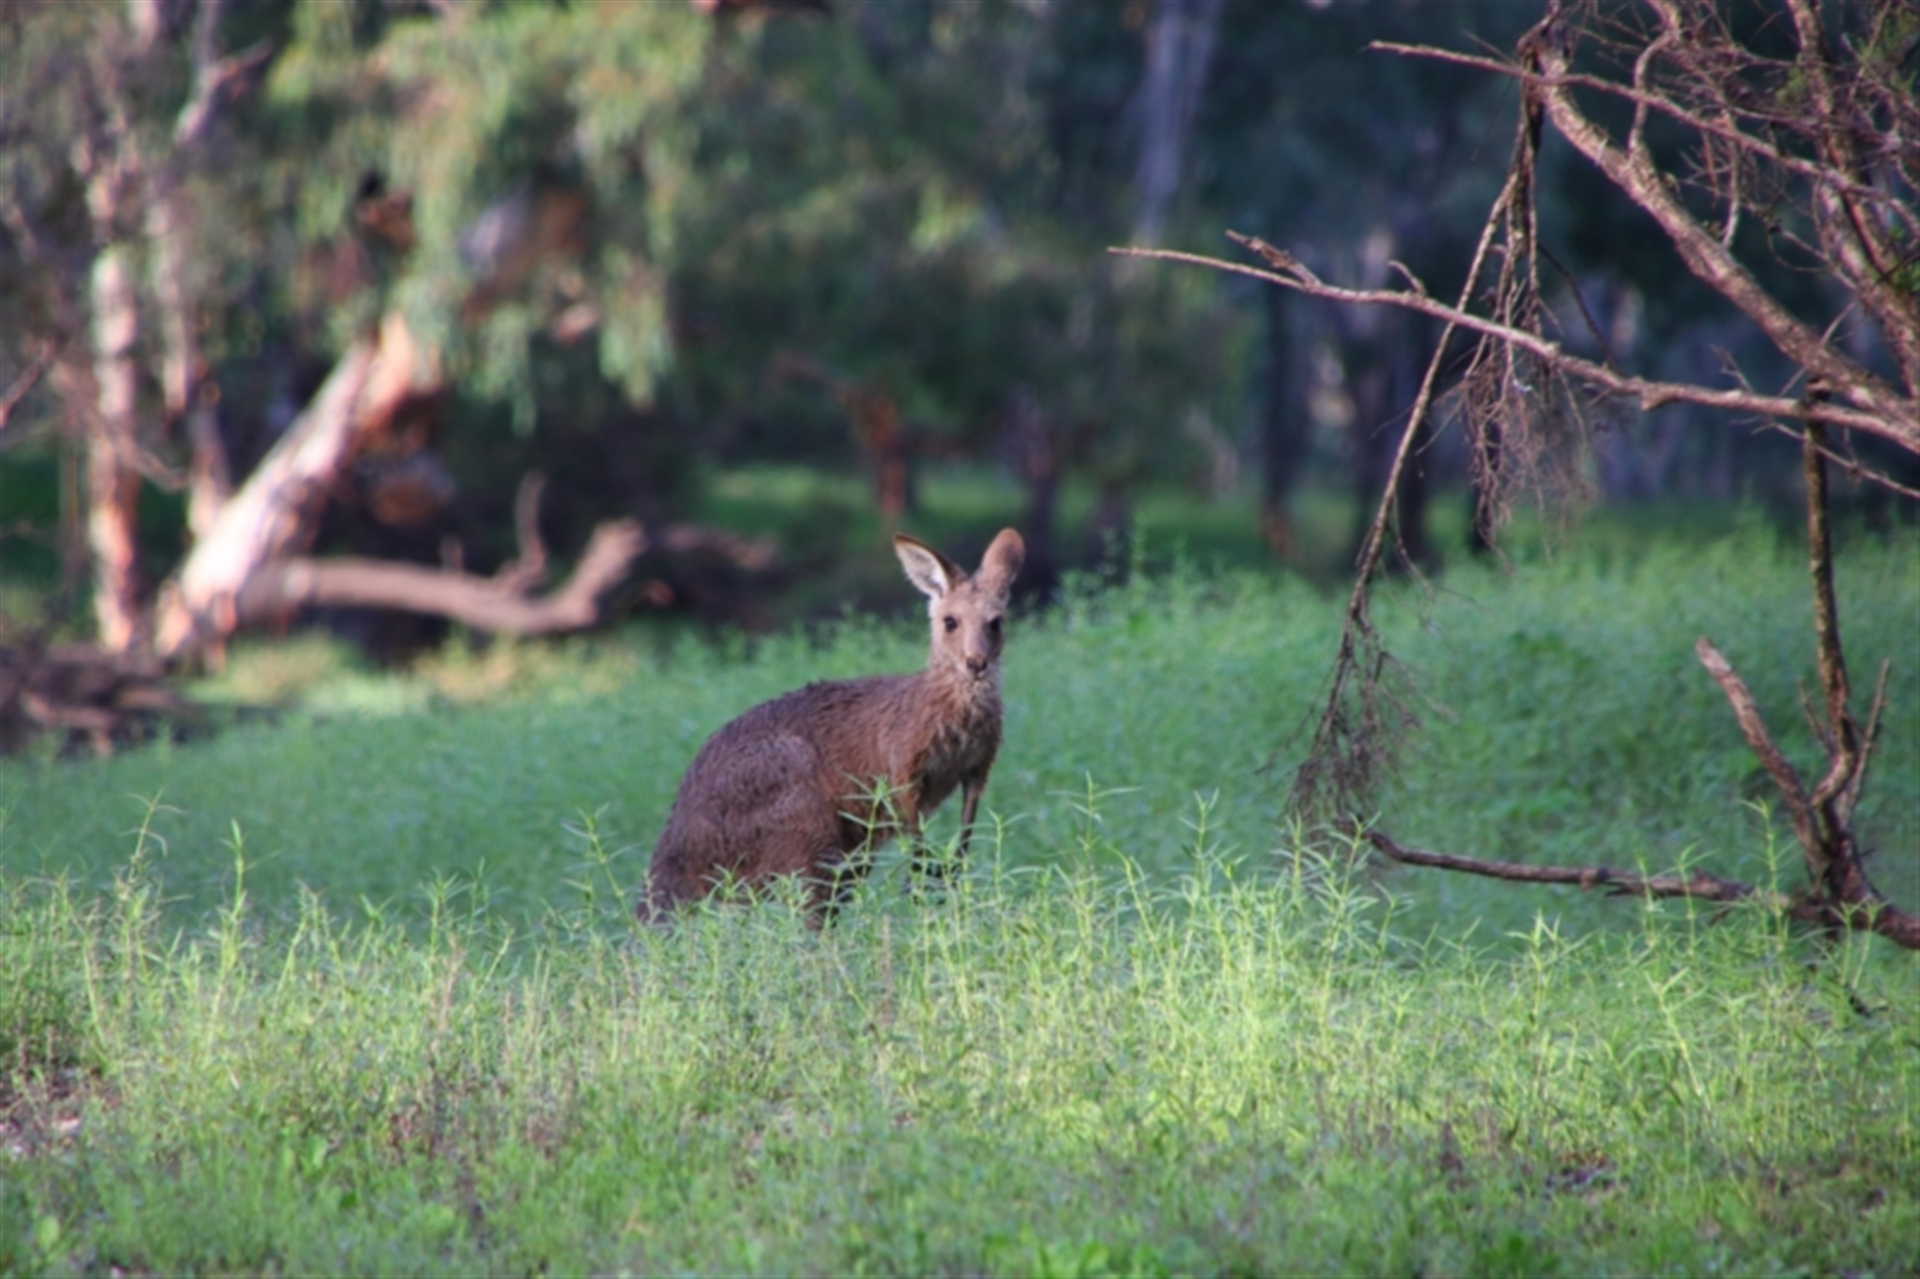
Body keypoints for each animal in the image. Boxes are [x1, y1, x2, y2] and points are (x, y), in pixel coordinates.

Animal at [641, 528, 1025, 921]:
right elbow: (913, 822)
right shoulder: (902, 762)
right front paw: (922, 878)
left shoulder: (978, 767)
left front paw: (951, 872)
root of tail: (668, 856)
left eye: (996, 623)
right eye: (951, 622)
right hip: (800, 812)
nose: (976, 663)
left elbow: (968, 821)